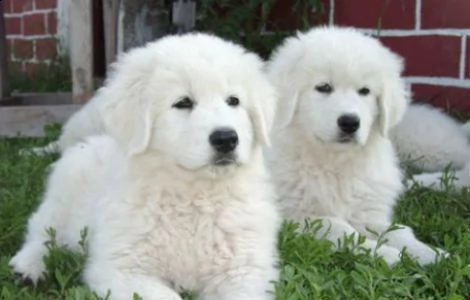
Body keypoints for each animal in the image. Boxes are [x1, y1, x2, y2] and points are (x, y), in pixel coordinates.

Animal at [10, 31, 280, 298]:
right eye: (183, 103)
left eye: (233, 101)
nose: (226, 139)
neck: (194, 196)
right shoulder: (123, 268)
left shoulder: (244, 270)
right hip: (60, 202)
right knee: (42, 234)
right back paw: (28, 268)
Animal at [266, 25, 446, 264]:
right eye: (323, 87)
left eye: (364, 91)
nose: (350, 122)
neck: (334, 162)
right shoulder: (294, 216)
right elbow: (341, 229)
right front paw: (386, 254)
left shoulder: (367, 210)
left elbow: (398, 231)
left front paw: (431, 254)